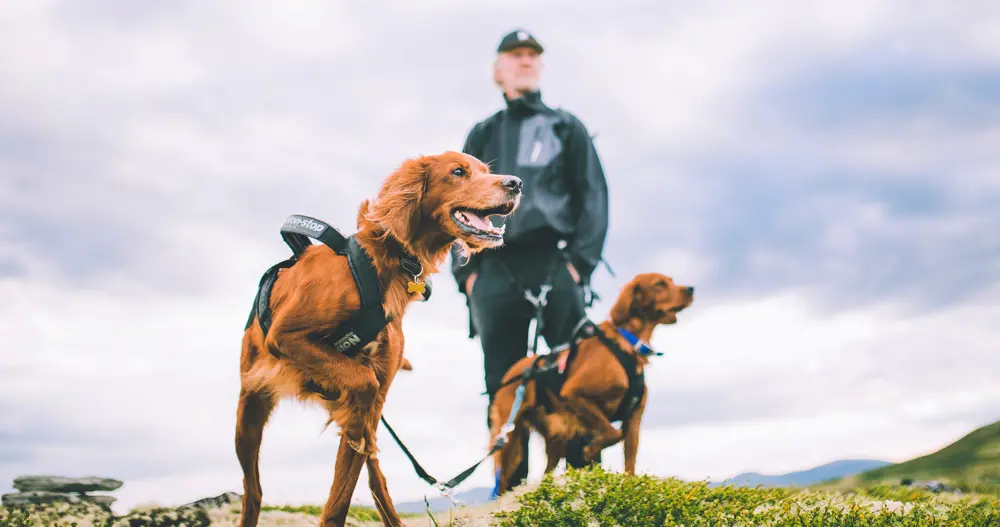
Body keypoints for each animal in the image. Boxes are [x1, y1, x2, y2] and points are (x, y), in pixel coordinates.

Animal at [235, 152, 524, 527]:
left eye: (487, 171)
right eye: (458, 171)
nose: (516, 183)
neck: (383, 262)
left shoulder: (377, 390)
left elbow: (343, 494)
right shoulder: (285, 336)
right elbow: (363, 381)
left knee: (375, 478)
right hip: (249, 410)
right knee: (253, 490)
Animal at [486, 274, 692, 498]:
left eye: (671, 281)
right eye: (660, 284)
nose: (691, 289)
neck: (627, 345)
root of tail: (512, 373)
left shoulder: (634, 417)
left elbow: (629, 460)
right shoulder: (573, 394)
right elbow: (613, 433)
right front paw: (591, 450)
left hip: (555, 437)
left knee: (546, 471)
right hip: (510, 438)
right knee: (502, 480)